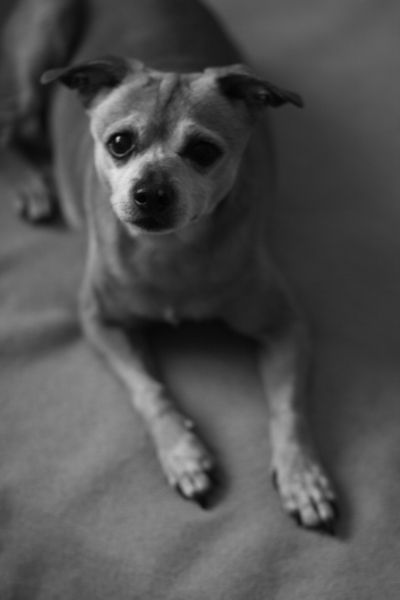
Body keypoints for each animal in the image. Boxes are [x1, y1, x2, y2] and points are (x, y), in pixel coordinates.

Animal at [1, 0, 337, 533]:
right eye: (119, 142)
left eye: (203, 151)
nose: (151, 193)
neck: (170, 252)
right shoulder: (99, 321)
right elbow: (148, 389)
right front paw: (182, 452)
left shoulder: (287, 326)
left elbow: (289, 407)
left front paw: (302, 475)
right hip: (42, 38)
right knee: (9, 125)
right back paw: (31, 184)